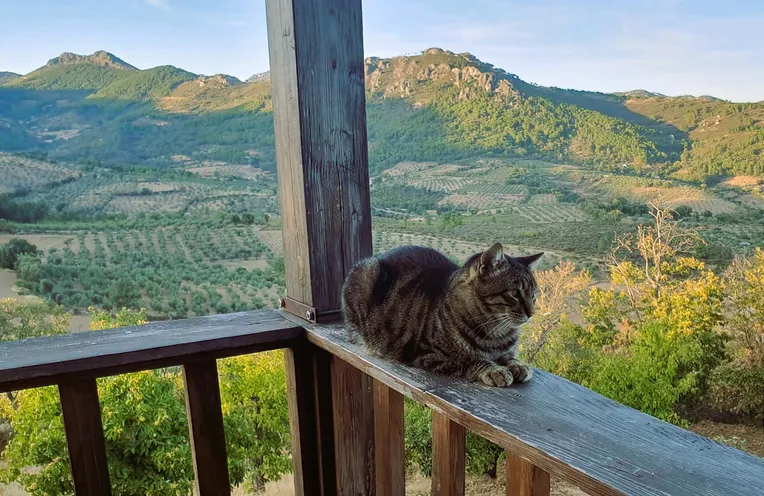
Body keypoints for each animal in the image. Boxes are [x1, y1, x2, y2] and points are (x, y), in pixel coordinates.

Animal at [340, 241, 544, 388]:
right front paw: (494, 370)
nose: (532, 313)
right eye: (514, 293)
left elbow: (509, 356)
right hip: (366, 272)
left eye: (534, 295)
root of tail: (380, 256)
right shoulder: (428, 353)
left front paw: (518, 364)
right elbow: (469, 360)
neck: (496, 334)